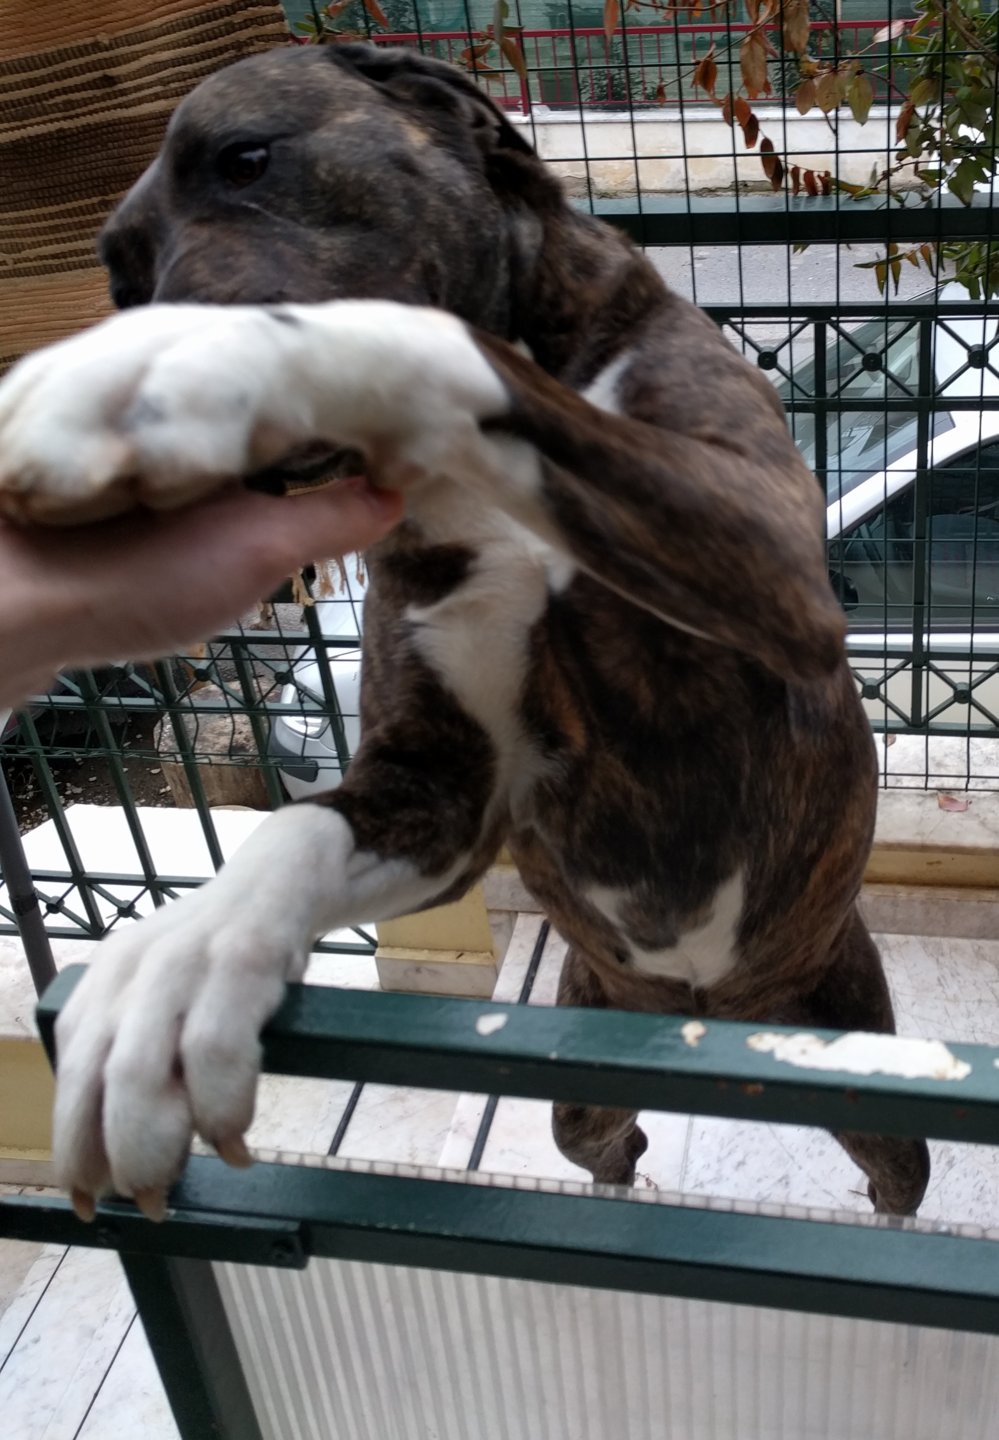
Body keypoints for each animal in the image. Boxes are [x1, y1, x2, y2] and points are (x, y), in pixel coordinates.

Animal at [0, 43, 930, 1221]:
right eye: (118, 279)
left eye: (246, 159)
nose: (143, 317)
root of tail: (707, 1020)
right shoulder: (438, 796)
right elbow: (293, 833)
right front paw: (179, 959)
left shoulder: (766, 566)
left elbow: (443, 344)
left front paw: (183, 368)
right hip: (581, 1088)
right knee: (609, 1143)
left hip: (870, 1088)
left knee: (894, 1178)